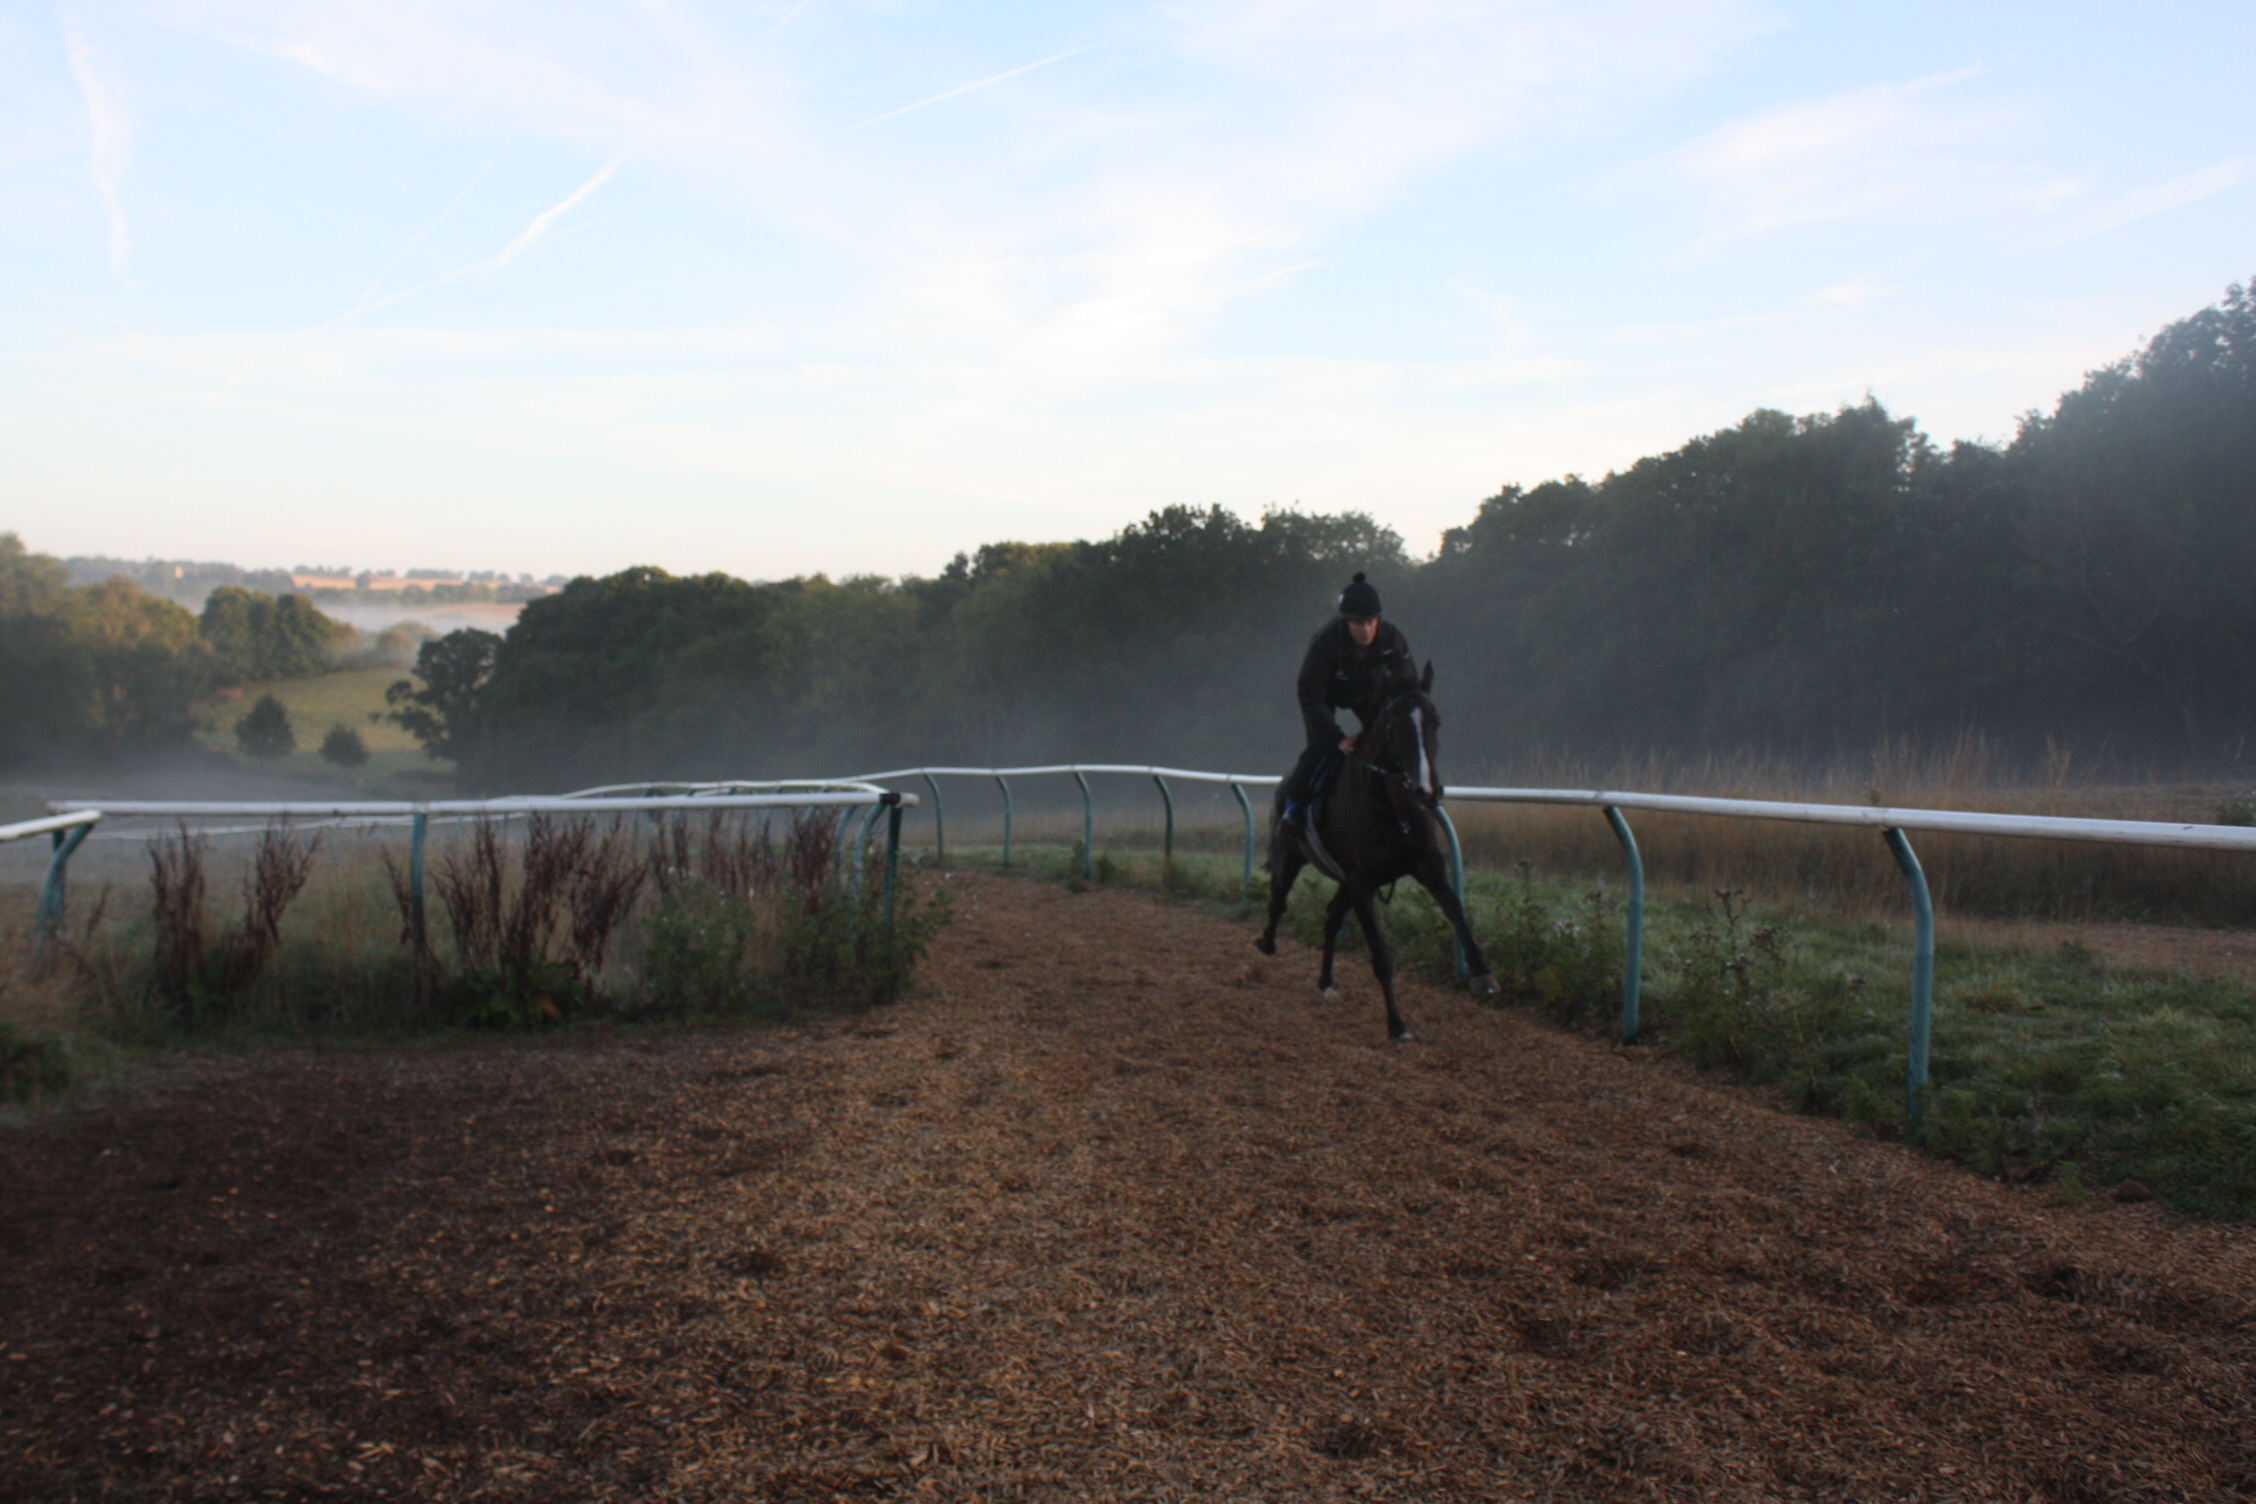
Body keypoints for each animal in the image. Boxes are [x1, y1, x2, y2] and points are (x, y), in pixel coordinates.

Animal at [1254, 662, 1497, 1041]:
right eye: (1394, 726)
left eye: (1435, 720)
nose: (1427, 791)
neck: (1393, 811)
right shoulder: (1361, 882)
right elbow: (1381, 956)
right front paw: (1396, 1024)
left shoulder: (1428, 867)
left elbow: (1456, 909)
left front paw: (1482, 973)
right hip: (1290, 857)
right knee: (1277, 902)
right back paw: (1267, 943)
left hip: (1342, 880)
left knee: (1331, 917)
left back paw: (1326, 981)